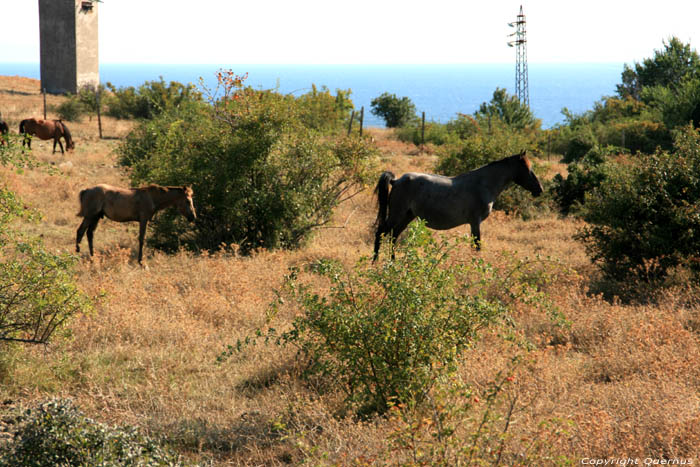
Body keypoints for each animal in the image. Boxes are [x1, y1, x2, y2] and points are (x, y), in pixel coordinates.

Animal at [374, 152, 544, 262]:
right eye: (527, 169)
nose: (540, 189)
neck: (483, 184)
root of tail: (396, 181)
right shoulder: (475, 222)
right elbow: (476, 246)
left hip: (407, 216)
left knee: (393, 236)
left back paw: (393, 262)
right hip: (397, 214)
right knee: (381, 232)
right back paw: (375, 262)